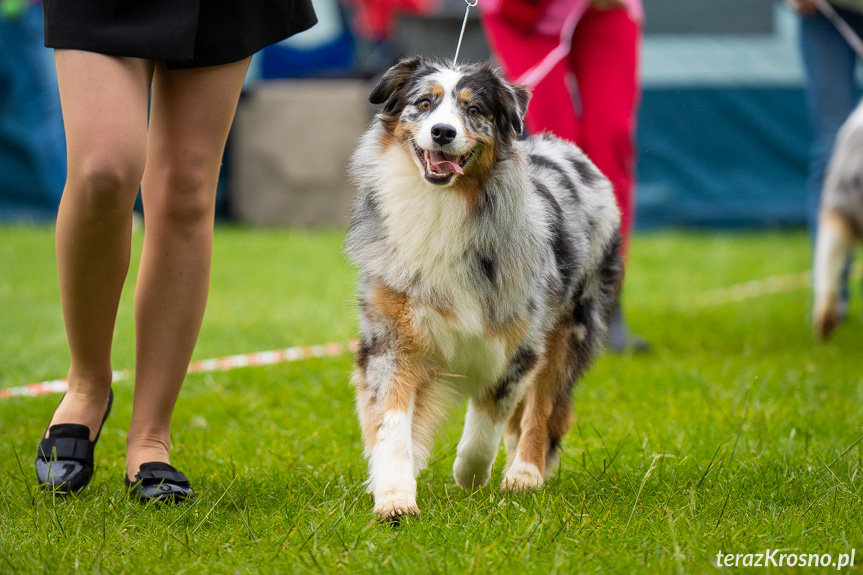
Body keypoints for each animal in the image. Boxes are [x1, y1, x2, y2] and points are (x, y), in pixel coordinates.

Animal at [348, 56, 624, 520]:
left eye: (474, 109)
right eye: (424, 103)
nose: (443, 132)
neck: (442, 206)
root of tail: (570, 150)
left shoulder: (520, 342)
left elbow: (487, 418)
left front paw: (471, 475)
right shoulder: (392, 337)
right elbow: (392, 426)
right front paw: (394, 497)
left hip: (570, 330)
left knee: (541, 409)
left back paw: (524, 473)